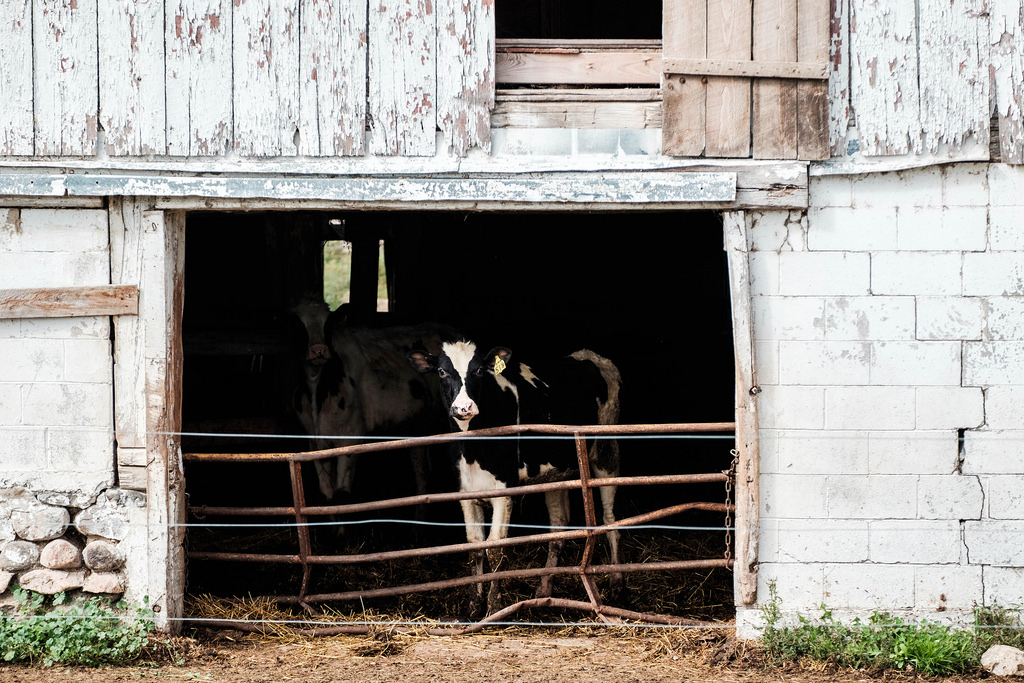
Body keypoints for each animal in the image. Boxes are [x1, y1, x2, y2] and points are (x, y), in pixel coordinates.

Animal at [290, 296, 454, 501]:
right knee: (422, 475)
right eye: (297, 323)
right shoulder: (315, 444)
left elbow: (342, 494)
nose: (319, 350)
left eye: (327, 323)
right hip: (418, 427)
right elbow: (327, 496)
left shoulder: (350, 438)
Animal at [409, 339, 622, 618]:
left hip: (606, 452)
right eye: (442, 372)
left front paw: (493, 608)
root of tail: (589, 355)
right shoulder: (465, 492)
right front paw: (473, 608)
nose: (464, 407)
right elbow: (474, 546)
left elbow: (495, 547)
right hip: (553, 472)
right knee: (558, 525)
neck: (473, 449)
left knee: (609, 517)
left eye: (479, 370)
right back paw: (544, 590)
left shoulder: (504, 490)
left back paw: (617, 583)